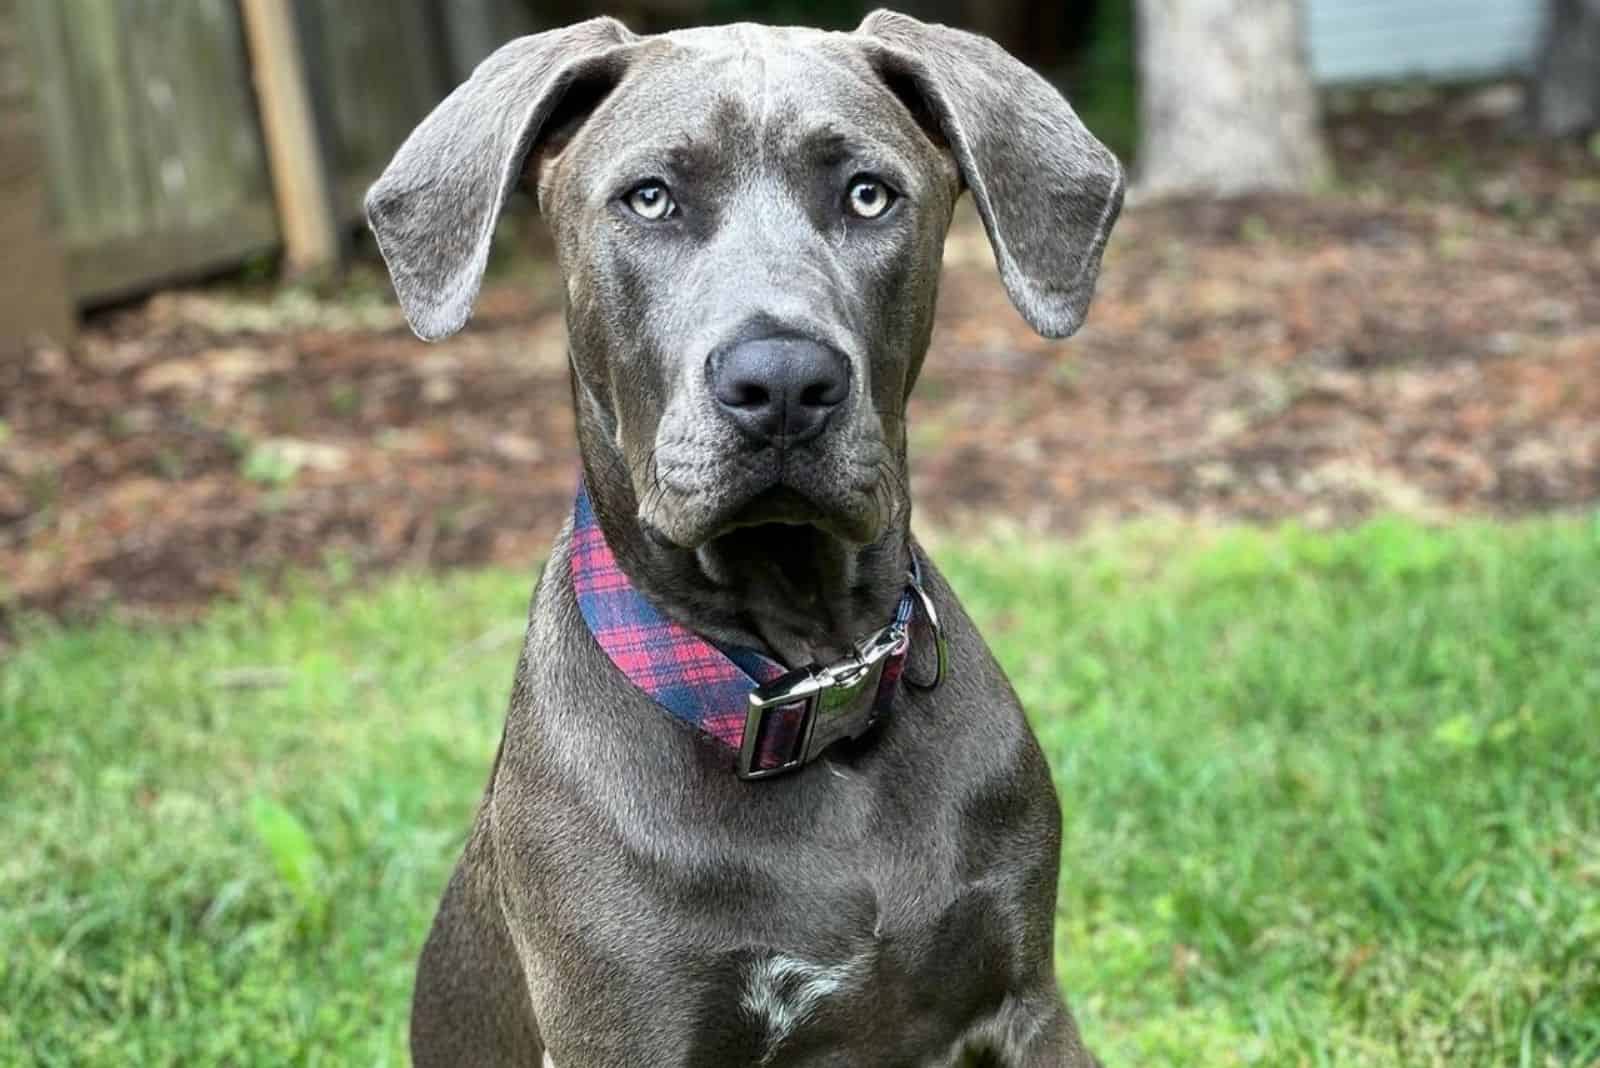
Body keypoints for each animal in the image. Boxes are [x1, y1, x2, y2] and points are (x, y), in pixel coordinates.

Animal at [366, 10, 1120, 1068]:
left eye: (867, 194)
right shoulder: (628, 1029)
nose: (784, 380)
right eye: (650, 198)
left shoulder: (1024, 1002)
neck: (808, 680)